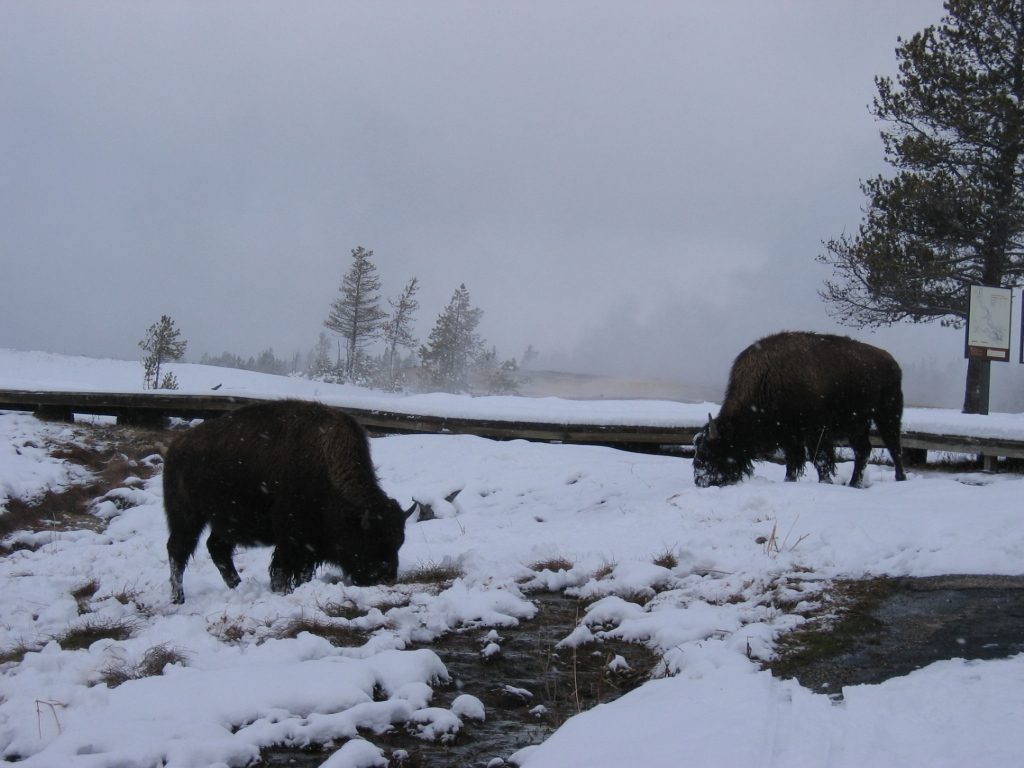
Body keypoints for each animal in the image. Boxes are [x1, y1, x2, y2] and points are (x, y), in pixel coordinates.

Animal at [163, 399, 413, 603]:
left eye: (399, 542)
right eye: (371, 541)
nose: (386, 578)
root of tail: (176, 446)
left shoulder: (310, 544)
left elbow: (303, 572)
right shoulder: (291, 537)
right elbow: (283, 568)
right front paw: (282, 591)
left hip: (225, 522)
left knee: (217, 549)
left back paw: (238, 587)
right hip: (187, 516)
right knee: (178, 550)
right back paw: (178, 598)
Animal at [693, 332, 907, 488]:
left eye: (712, 451)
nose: (700, 480)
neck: (767, 379)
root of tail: (891, 361)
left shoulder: (815, 433)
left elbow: (819, 459)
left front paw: (825, 482)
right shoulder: (789, 436)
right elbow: (792, 462)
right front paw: (789, 481)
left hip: (887, 414)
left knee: (893, 445)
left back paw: (899, 478)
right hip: (858, 424)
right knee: (863, 450)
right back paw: (854, 484)